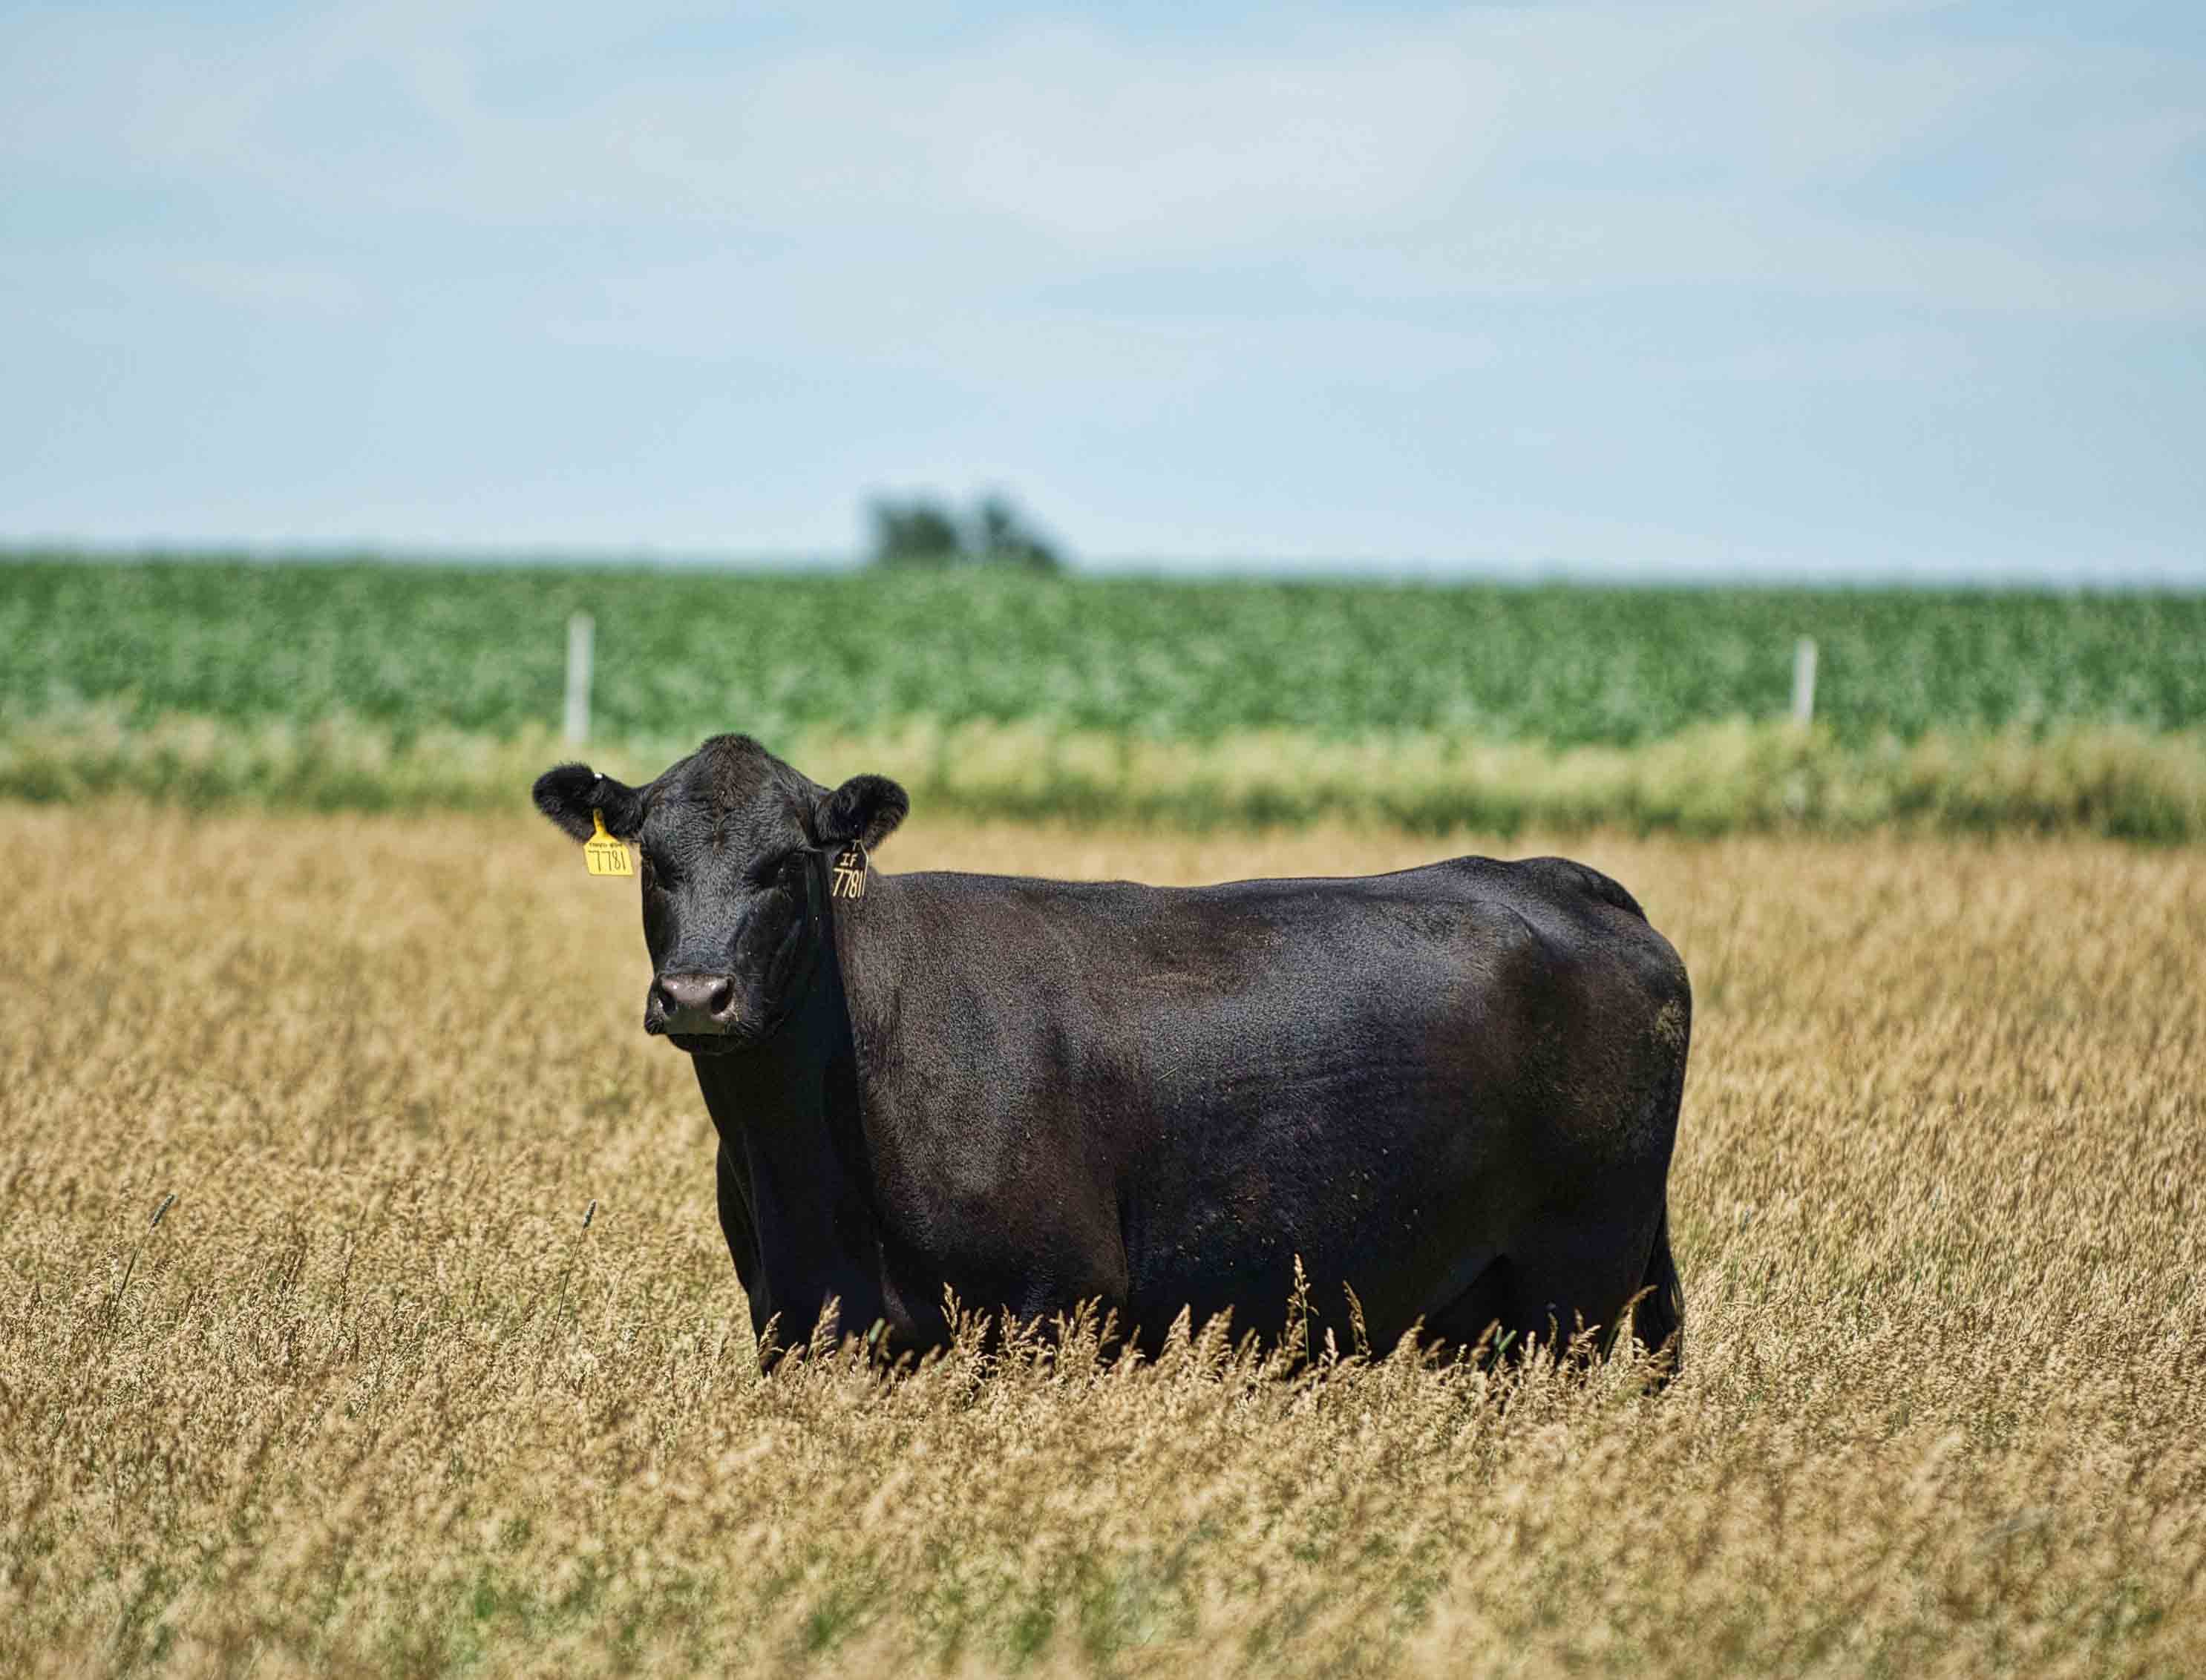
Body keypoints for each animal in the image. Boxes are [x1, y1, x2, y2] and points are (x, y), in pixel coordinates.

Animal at [535, 734, 1689, 1371]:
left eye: (784, 863)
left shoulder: (1055, 1302)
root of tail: (1555, 877)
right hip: (1480, 1305)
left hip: (1577, 1278)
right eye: (655, 861)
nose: (697, 994)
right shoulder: (795, 1315)